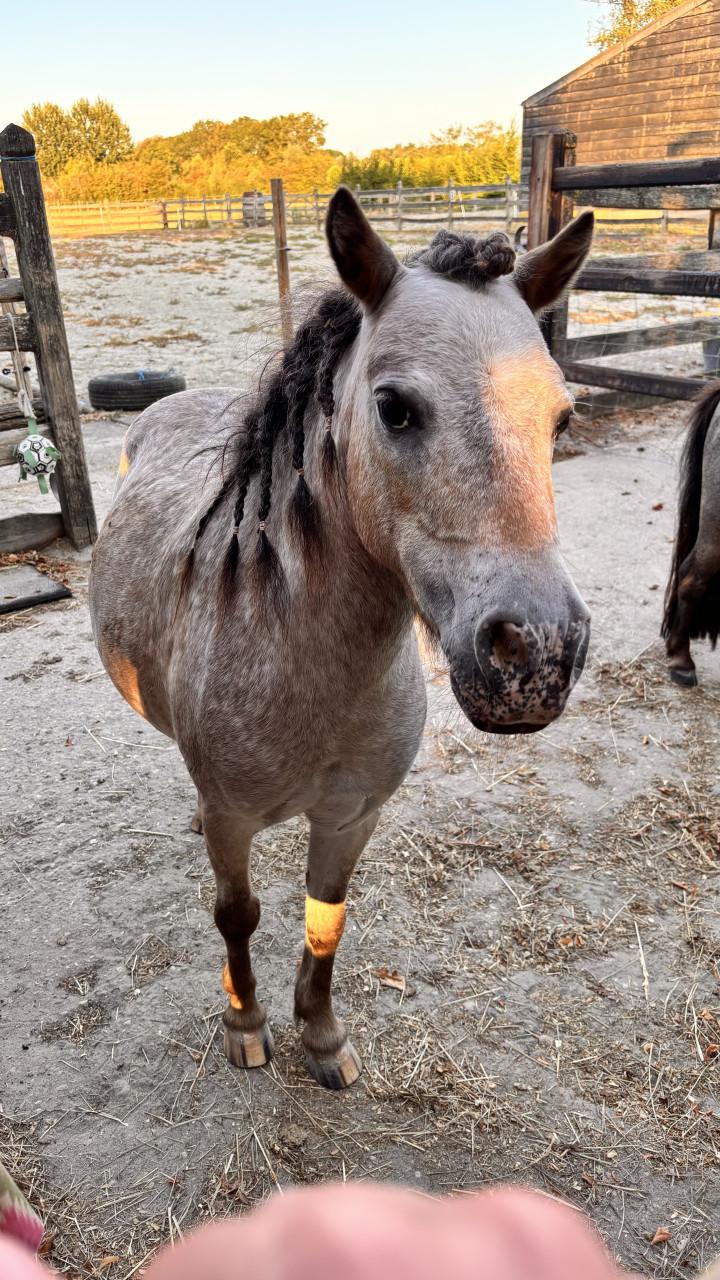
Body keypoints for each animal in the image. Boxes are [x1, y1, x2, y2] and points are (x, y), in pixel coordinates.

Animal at [89, 189, 594, 1089]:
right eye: (394, 407)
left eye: (561, 416)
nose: (536, 654)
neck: (304, 662)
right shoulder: (233, 820)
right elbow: (237, 914)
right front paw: (246, 1023)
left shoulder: (352, 817)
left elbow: (326, 923)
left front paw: (321, 1037)